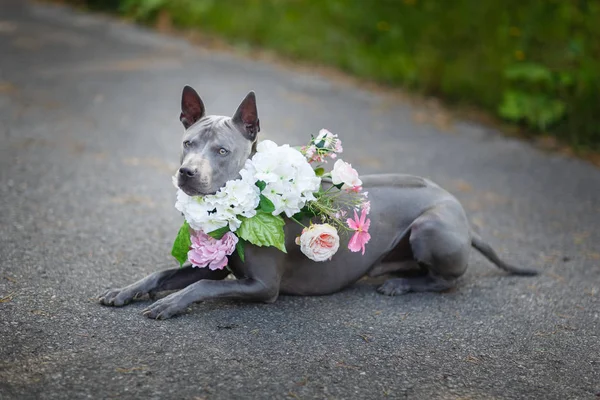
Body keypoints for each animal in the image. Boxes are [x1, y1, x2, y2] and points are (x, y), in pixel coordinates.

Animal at [99, 86, 540, 318]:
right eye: (188, 143)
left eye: (221, 151)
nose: (186, 172)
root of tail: (464, 217)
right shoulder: (213, 263)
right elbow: (163, 273)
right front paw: (126, 290)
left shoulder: (263, 286)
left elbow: (202, 285)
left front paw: (171, 303)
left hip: (430, 228)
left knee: (446, 281)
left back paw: (400, 285)